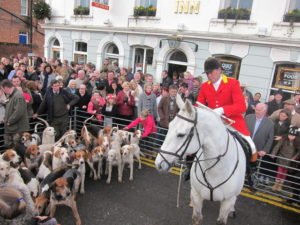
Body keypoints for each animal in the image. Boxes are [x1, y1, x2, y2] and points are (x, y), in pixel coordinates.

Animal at [155, 96, 246, 225]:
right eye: (170, 125)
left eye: (181, 134)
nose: (158, 163)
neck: (216, 169)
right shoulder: (197, 195)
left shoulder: (227, 202)